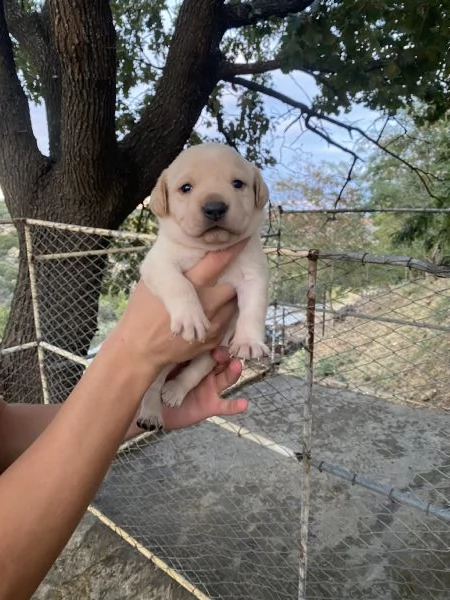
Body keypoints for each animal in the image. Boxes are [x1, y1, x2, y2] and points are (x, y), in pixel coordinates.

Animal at [137, 142, 268, 428]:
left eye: (238, 183)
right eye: (186, 188)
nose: (215, 207)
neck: (209, 248)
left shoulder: (254, 274)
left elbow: (254, 308)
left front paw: (249, 341)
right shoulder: (158, 263)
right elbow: (179, 284)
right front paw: (191, 318)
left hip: (212, 351)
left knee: (193, 372)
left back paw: (174, 392)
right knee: (153, 385)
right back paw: (150, 413)